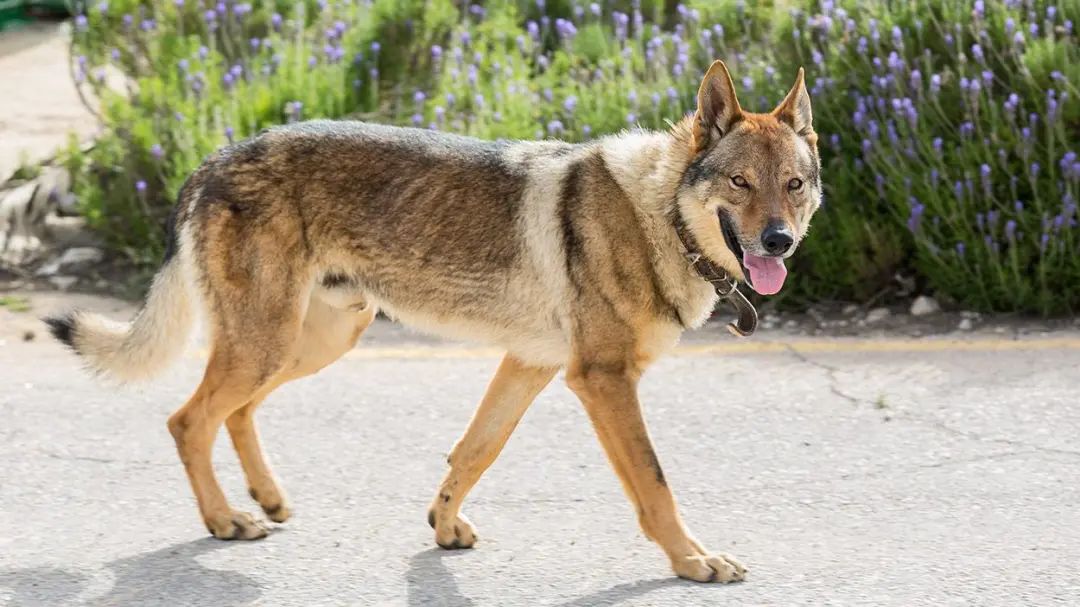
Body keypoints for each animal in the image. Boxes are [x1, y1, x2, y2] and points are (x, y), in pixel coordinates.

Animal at [42, 61, 816, 583]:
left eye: (794, 184)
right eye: (740, 182)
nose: (779, 242)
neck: (657, 214)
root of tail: (214, 158)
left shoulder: (531, 365)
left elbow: (474, 451)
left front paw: (442, 526)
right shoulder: (601, 380)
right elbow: (656, 485)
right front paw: (694, 560)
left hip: (305, 344)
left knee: (233, 412)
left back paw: (265, 498)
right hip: (270, 344)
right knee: (187, 419)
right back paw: (226, 519)